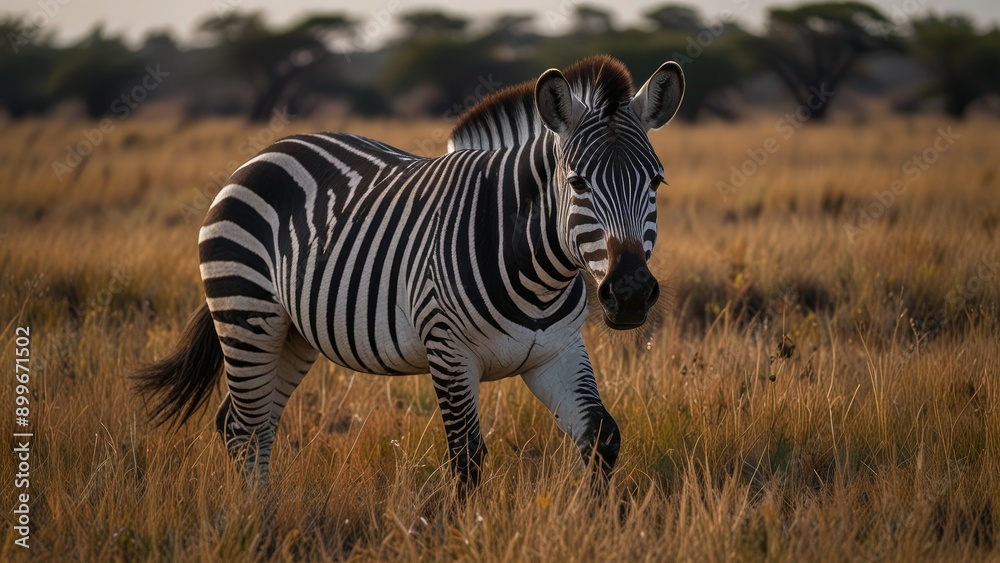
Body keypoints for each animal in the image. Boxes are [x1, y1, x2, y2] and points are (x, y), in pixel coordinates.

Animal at [134, 55, 685, 489]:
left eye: (657, 181)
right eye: (577, 182)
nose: (631, 293)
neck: (536, 275)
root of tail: (266, 152)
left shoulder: (556, 352)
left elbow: (602, 437)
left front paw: (598, 524)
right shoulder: (448, 351)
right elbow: (467, 460)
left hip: (292, 334)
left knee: (249, 424)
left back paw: (264, 512)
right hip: (247, 315)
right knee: (245, 429)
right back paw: (258, 522)